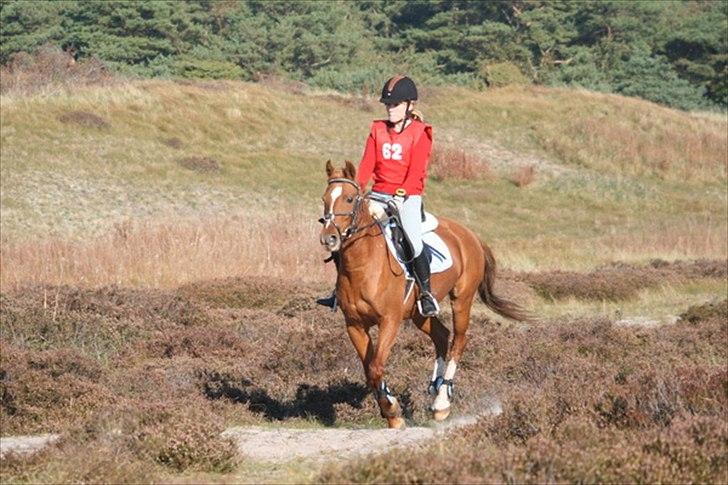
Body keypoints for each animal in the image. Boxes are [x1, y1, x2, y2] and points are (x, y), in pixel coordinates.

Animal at [319, 160, 528, 428]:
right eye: (325, 198)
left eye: (349, 198)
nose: (329, 238)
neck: (363, 265)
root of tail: (468, 234)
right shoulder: (354, 325)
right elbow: (370, 370)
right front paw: (391, 411)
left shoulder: (390, 321)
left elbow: (376, 366)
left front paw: (392, 409)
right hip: (419, 313)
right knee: (442, 335)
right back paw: (435, 389)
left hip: (462, 300)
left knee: (459, 340)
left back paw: (442, 402)